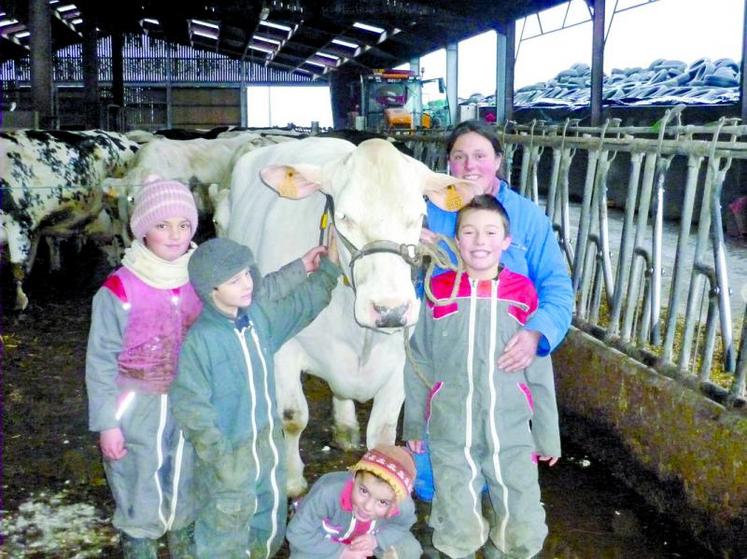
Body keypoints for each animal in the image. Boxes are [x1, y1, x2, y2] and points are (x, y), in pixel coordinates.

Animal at [226, 138, 480, 496]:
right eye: (345, 217)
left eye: (419, 215)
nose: (390, 310)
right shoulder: (282, 347)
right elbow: (293, 417)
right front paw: (292, 480)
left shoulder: (401, 361)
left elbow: (384, 431)